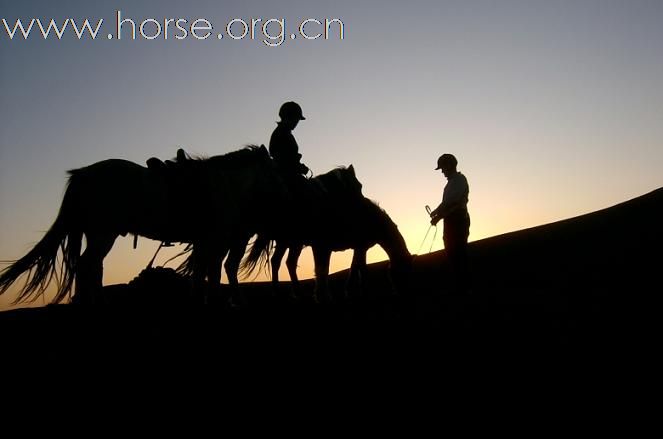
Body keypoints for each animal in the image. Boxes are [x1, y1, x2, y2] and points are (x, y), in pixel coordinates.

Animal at [0, 146, 286, 304]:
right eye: (275, 170)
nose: (288, 191)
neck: (225, 185)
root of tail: (84, 174)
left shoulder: (206, 242)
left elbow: (202, 273)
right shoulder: (216, 240)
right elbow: (215, 272)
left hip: (97, 233)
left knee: (93, 266)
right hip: (104, 233)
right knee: (87, 265)